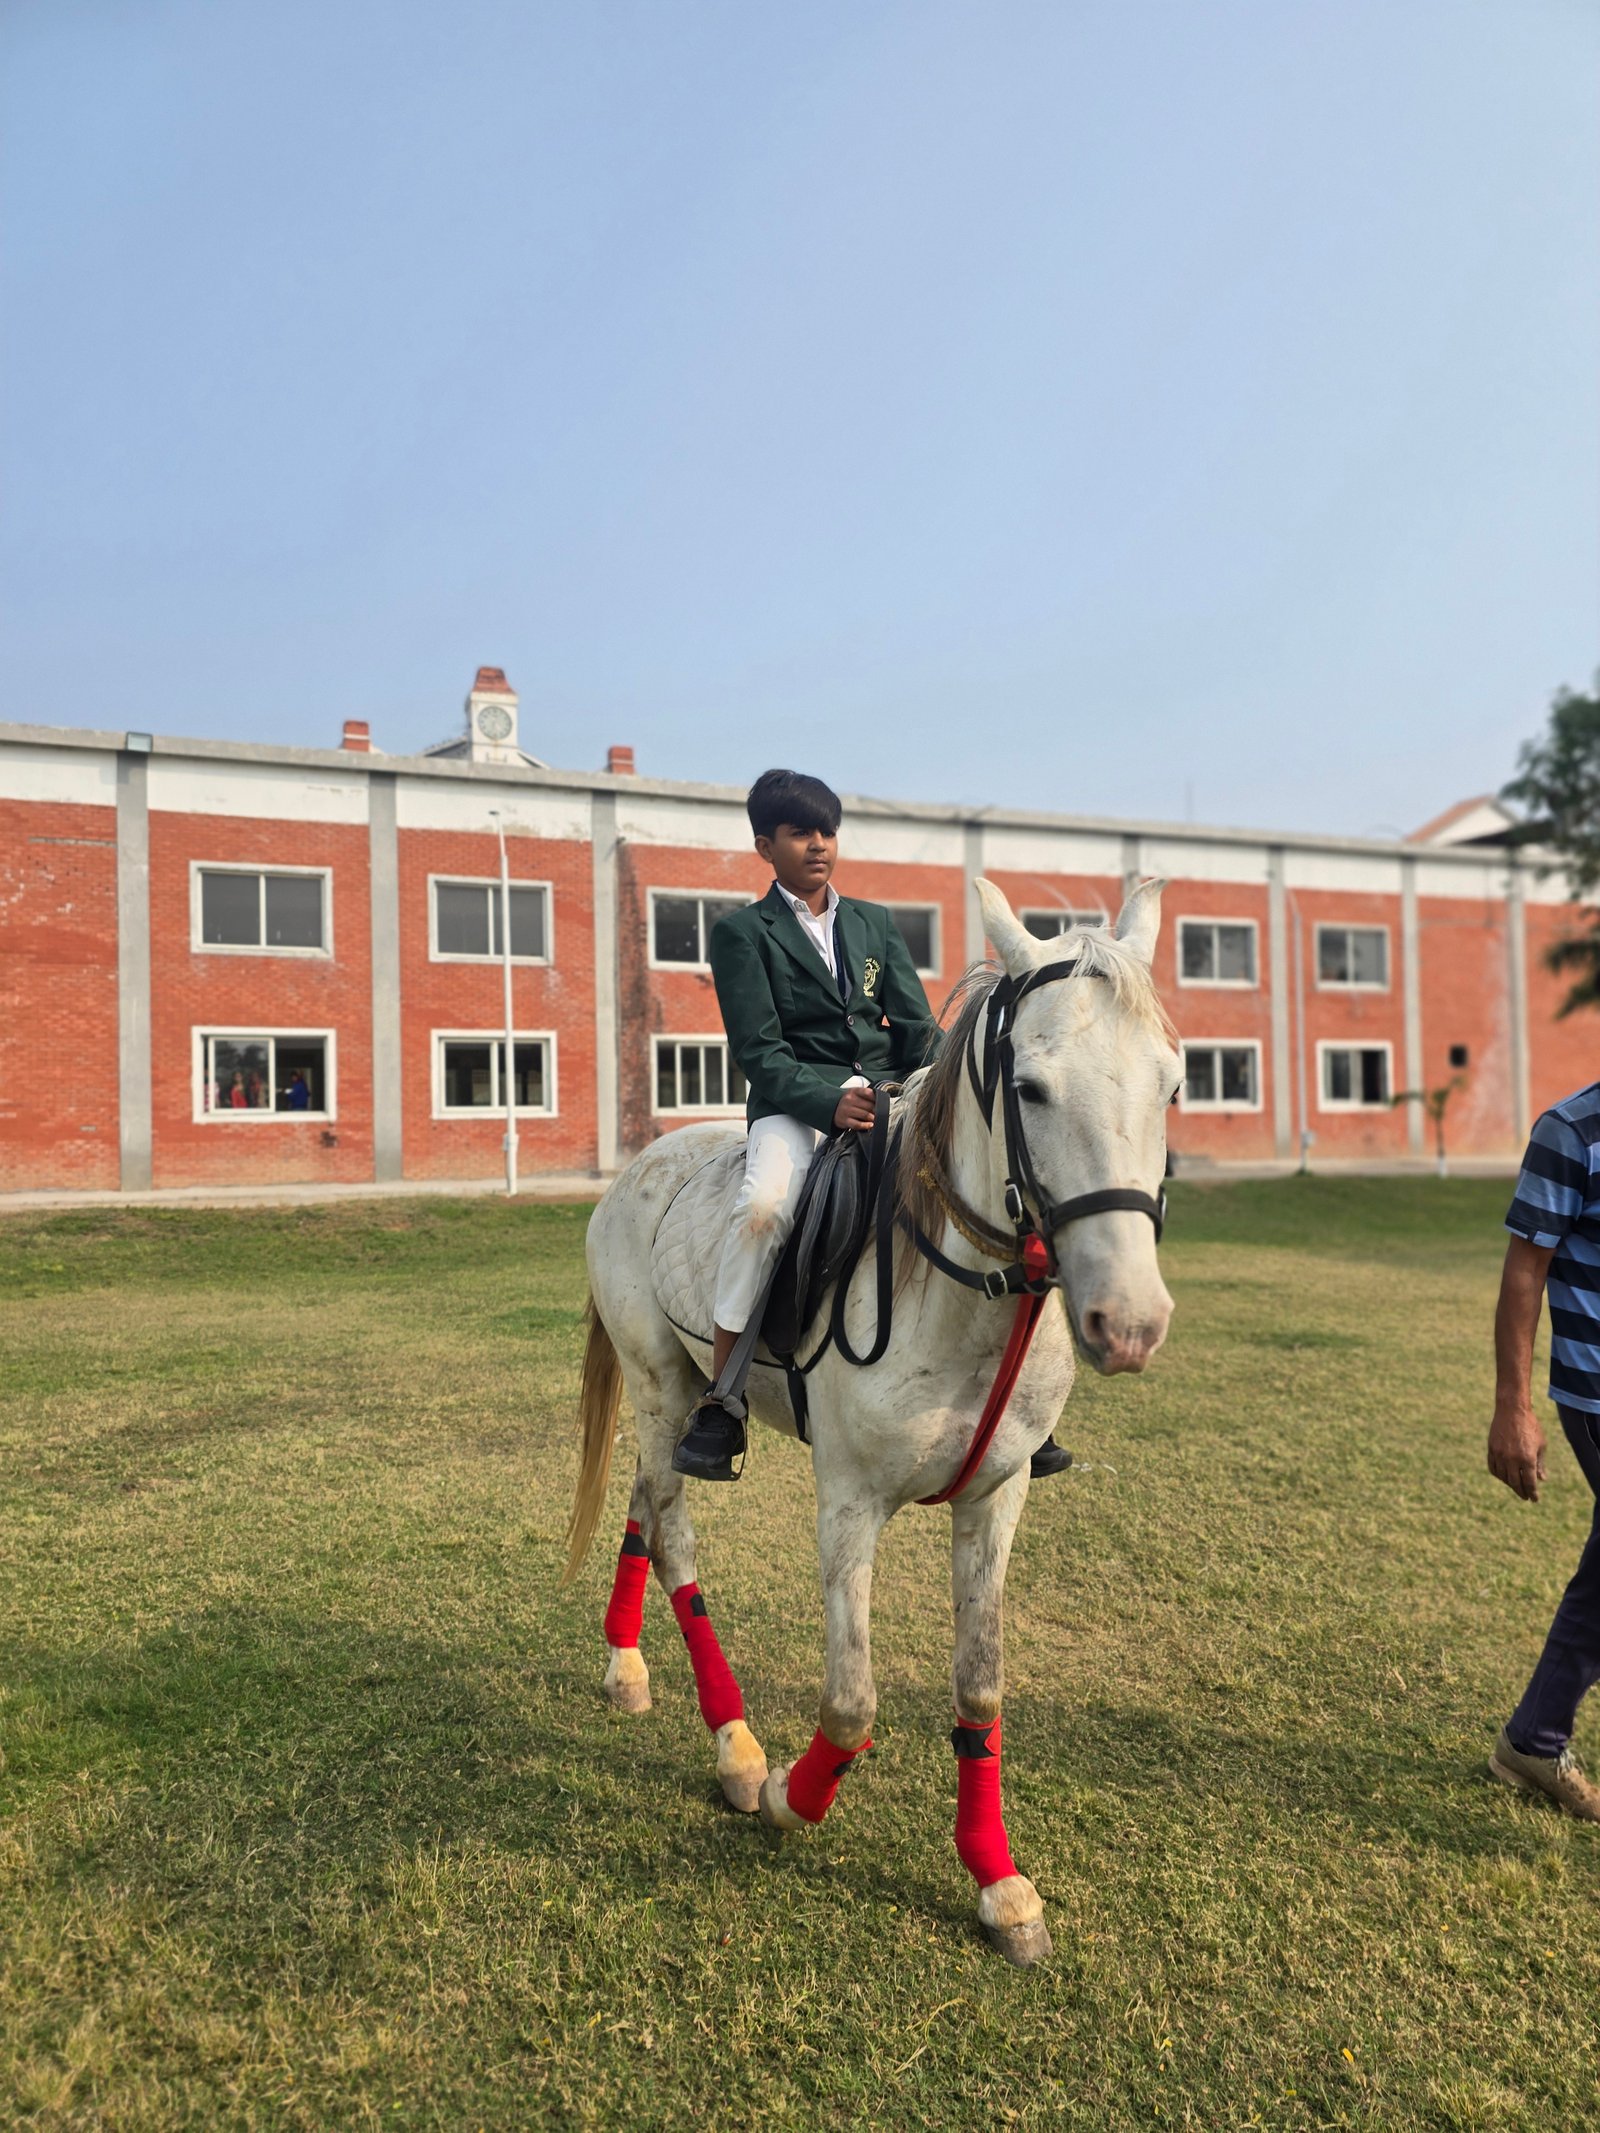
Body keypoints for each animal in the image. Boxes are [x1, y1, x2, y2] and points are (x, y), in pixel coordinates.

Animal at [562, 878, 1178, 1963]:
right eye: (1030, 1089)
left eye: (1173, 1085)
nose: (1131, 1323)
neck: (966, 1300)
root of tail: (644, 1161)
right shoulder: (847, 1502)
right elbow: (851, 1703)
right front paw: (788, 1797)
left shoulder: (995, 1498)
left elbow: (979, 1687)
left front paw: (999, 1883)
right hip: (659, 1385)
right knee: (675, 1537)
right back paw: (735, 1750)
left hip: (669, 1397)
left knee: (643, 1502)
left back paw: (627, 1667)